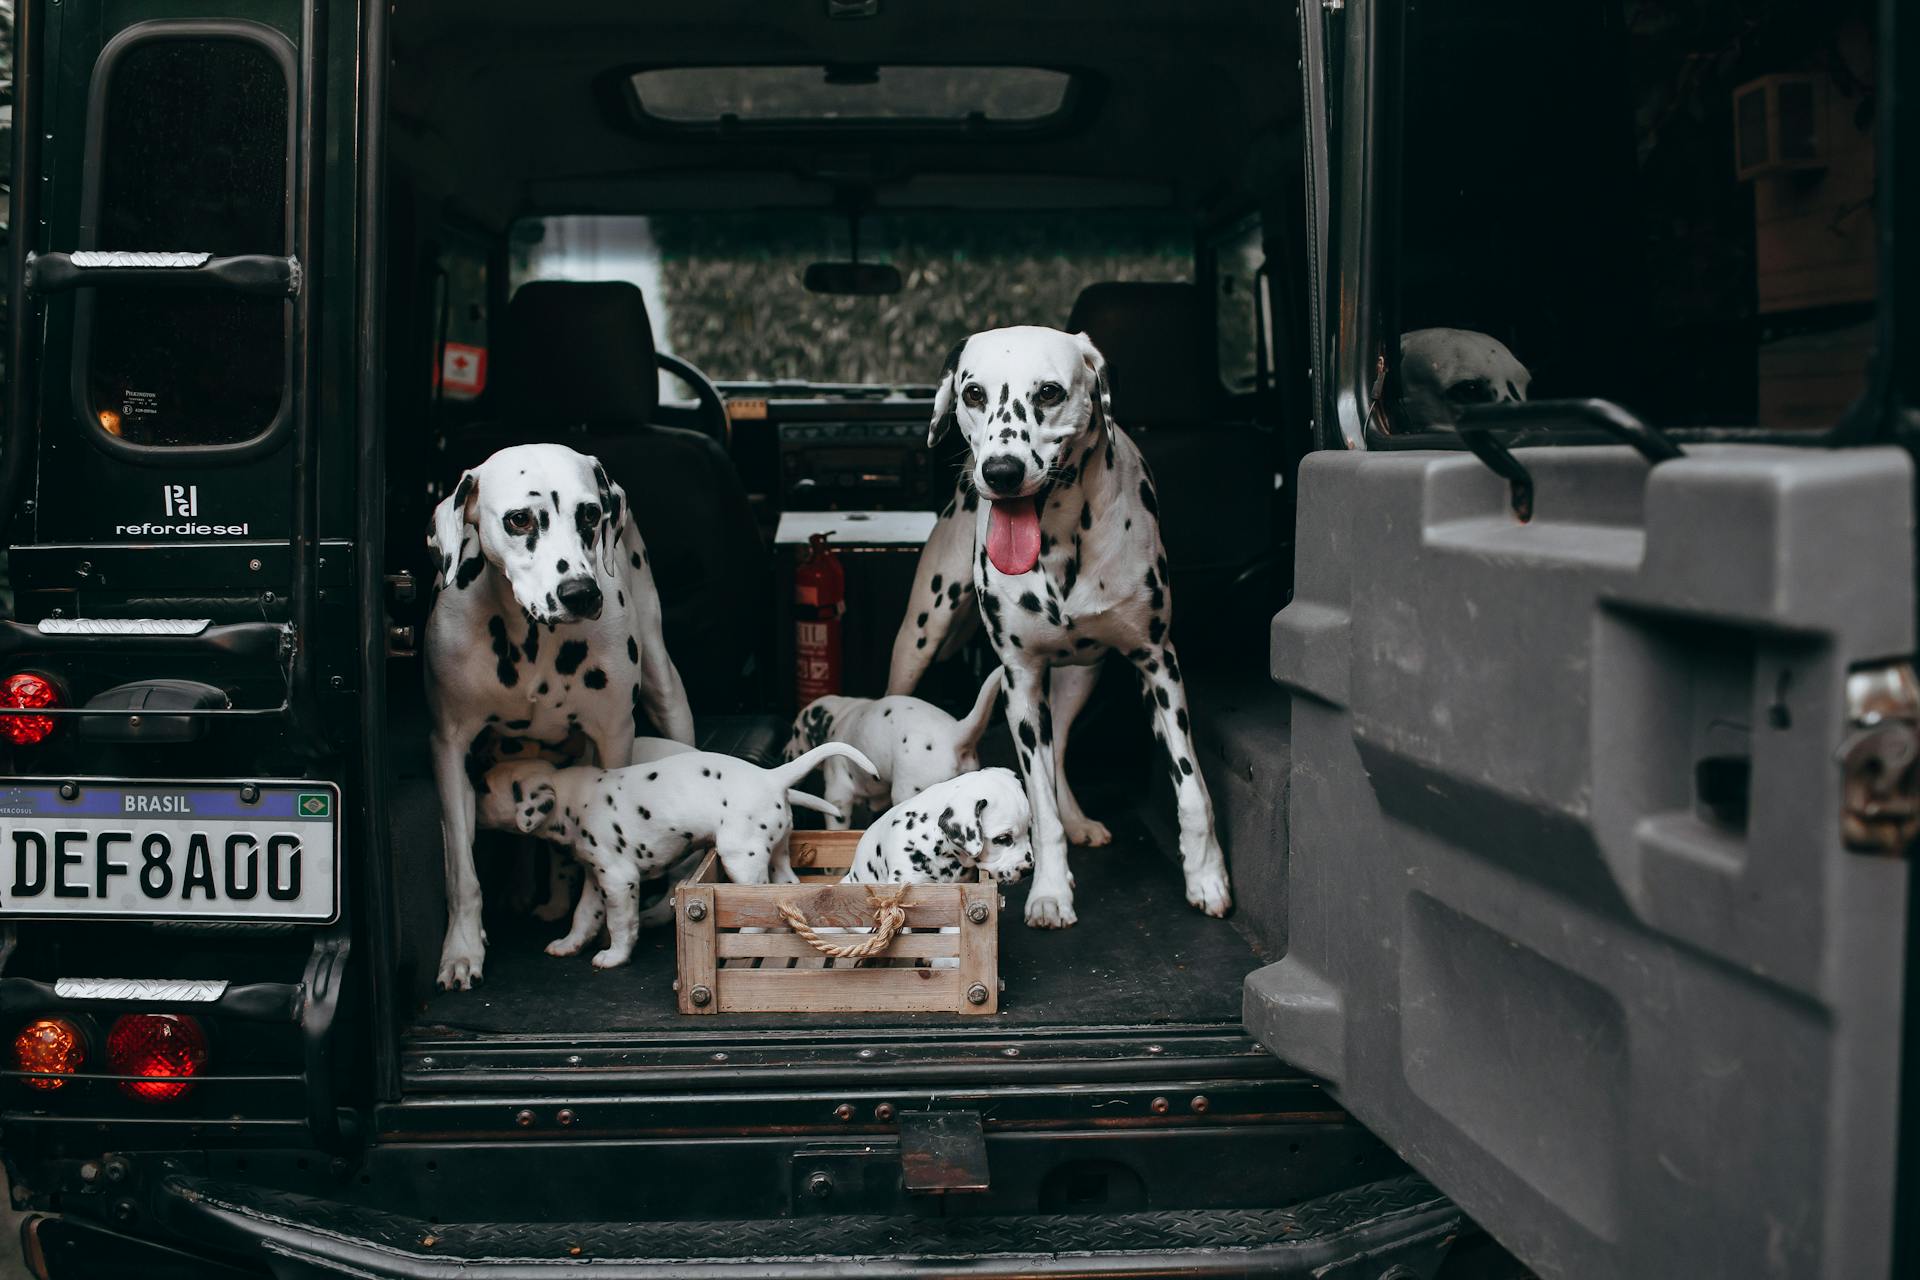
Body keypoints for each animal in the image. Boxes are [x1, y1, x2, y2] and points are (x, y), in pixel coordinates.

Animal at [424, 441, 695, 990]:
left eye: (589, 513)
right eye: (520, 519)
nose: (580, 592)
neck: (529, 641)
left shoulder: (613, 737)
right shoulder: (449, 748)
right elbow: (462, 869)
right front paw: (461, 951)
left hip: (666, 690)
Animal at [483, 740, 875, 971]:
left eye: (485, 788)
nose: (472, 807)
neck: (570, 799)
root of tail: (770, 776)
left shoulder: (618, 879)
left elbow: (620, 923)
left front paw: (614, 956)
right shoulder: (596, 879)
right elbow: (583, 916)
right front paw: (568, 945)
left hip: (740, 855)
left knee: (756, 899)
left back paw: (746, 936)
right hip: (775, 849)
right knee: (785, 885)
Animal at [883, 328, 1228, 932]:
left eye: (1048, 392)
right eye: (973, 393)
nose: (1000, 472)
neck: (1063, 538)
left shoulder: (1159, 663)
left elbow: (1191, 789)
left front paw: (1206, 877)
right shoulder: (1020, 682)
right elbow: (1038, 805)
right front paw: (1048, 892)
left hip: (1077, 677)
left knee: (1062, 747)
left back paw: (1080, 820)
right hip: (920, 639)